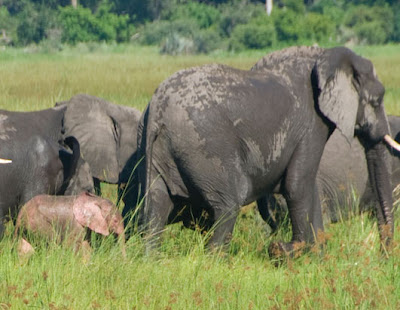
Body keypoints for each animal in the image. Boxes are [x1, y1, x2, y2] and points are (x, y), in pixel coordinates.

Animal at [136, 46, 398, 256]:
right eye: (377, 100)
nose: (383, 257)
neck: (327, 56)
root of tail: (157, 107)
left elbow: (307, 183)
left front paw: (316, 256)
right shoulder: (310, 125)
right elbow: (297, 184)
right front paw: (291, 251)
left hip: (159, 150)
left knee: (157, 206)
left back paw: (153, 260)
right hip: (205, 147)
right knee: (228, 204)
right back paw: (212, 262)